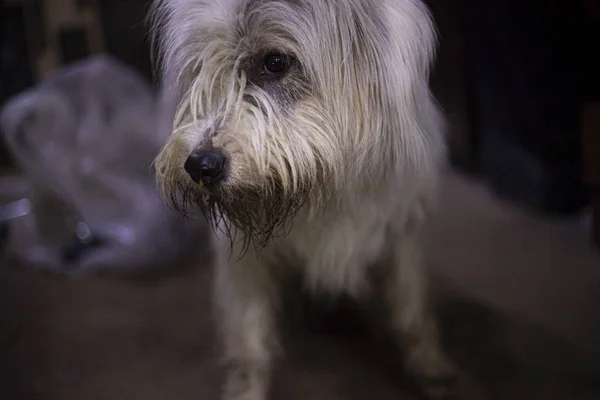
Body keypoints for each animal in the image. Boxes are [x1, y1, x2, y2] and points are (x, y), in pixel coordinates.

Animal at [149, 0, 464, 398]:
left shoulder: (403, 229)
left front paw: (431, 368)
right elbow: (249, 343)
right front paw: (246, 387)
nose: (200, 166)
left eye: (275, 62)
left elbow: (412, 310)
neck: (321, 185)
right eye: (199, 68)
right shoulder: (243, 260)